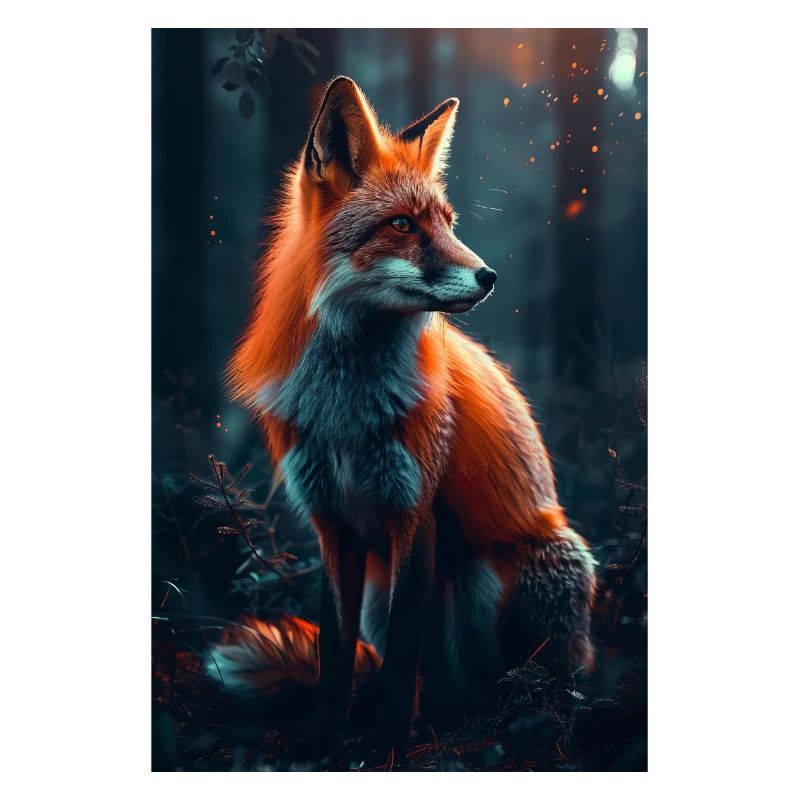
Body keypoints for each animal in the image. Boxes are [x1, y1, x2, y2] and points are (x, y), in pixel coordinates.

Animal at [211, 76, 597, 758]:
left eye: (447, 223)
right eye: (401, 225)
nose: (489, 276)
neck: (346, 408)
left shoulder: (414, 512)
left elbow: (401, 655)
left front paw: (387, 746)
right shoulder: (331, 522)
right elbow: (336, 658)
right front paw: (324, 740)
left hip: (507, 575)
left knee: (518, 683)